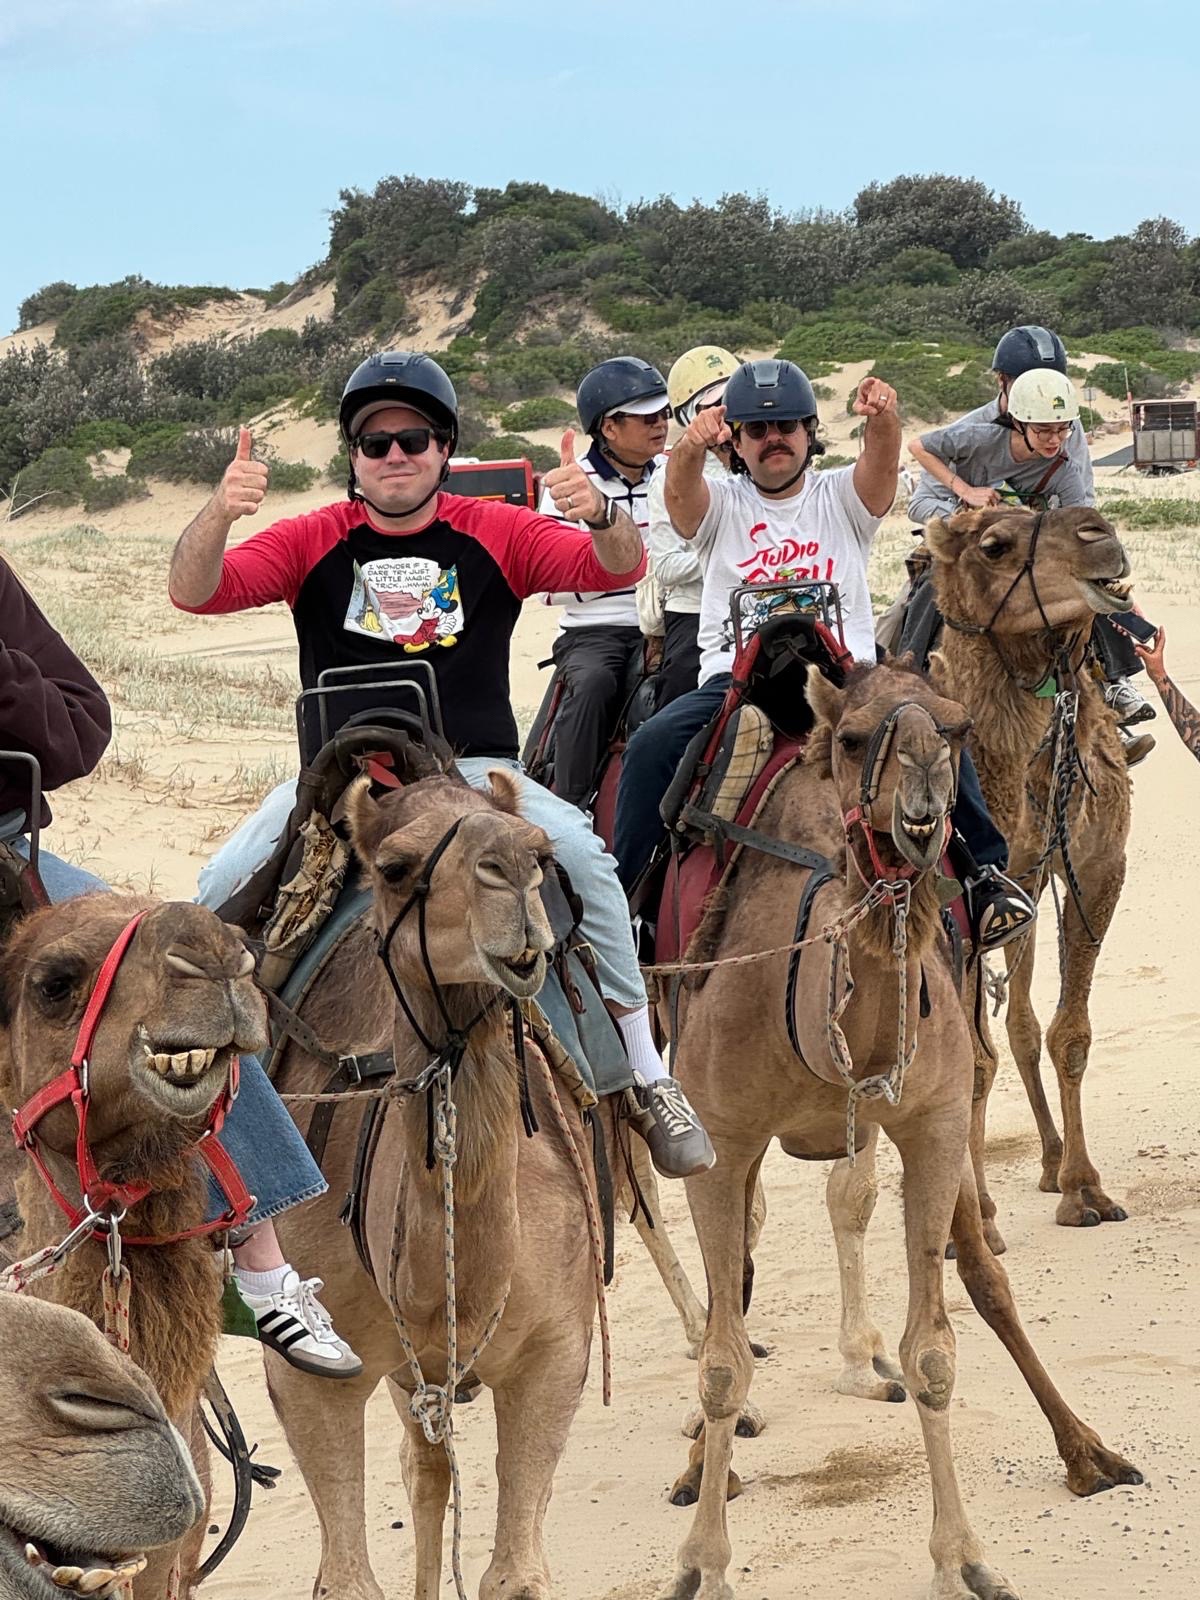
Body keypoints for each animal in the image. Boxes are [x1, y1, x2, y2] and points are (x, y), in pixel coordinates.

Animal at [267, 768, 610, 1600]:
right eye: (395, 868)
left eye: (542, 853)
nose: (512, 869)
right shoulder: (311, 1370)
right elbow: (346, 1581)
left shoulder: (557, 1353)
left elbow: (515, 1575)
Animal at [661, 660, 1141, 1600]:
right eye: (852, 740)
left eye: (955, 729)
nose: (920, 806)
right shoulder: (722, 1139)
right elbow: (723, 1364)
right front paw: (699, 1565)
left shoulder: (933, 1121)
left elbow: (936, 1352)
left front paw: (966, 1559)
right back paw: (705, 1468)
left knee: (977, 1273)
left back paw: (1083, 1449)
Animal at [925, 505, 1134, 1236]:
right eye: (994, 545)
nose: (1101, 533)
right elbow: (970, 1062)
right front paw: (973, 1221)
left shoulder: (1095, 867)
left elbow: (1068, 1034)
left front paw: (1084, 1188)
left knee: (1017, 1022)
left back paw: (1048, 1162)